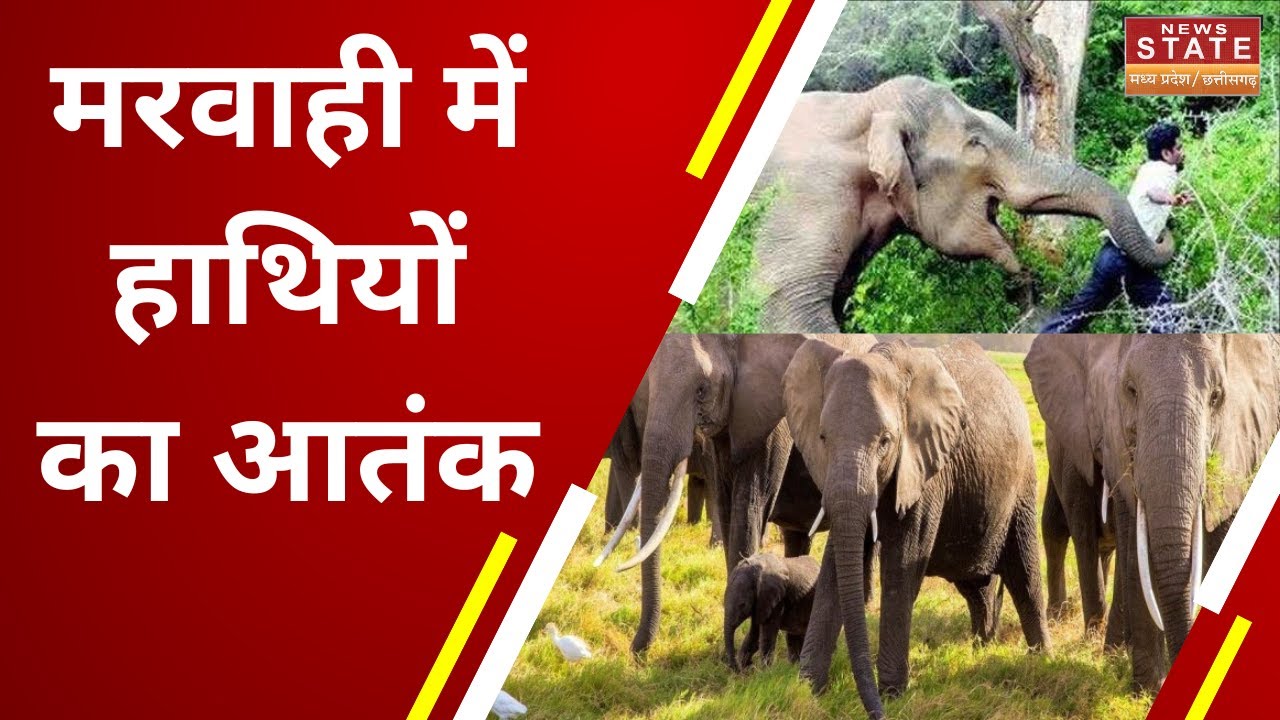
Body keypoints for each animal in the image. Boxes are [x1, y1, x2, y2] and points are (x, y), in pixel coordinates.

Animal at [784, 338, 1049, 719]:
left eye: (885, 441)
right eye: (822, 437)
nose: (875, 712)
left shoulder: (926, 468)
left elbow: (901, 566)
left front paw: (893, 694)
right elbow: (836, 565)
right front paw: (807, 690)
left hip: (1023, 482)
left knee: (1025, 577)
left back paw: (1042, 661)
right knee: (977, 584)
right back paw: (981, 648)